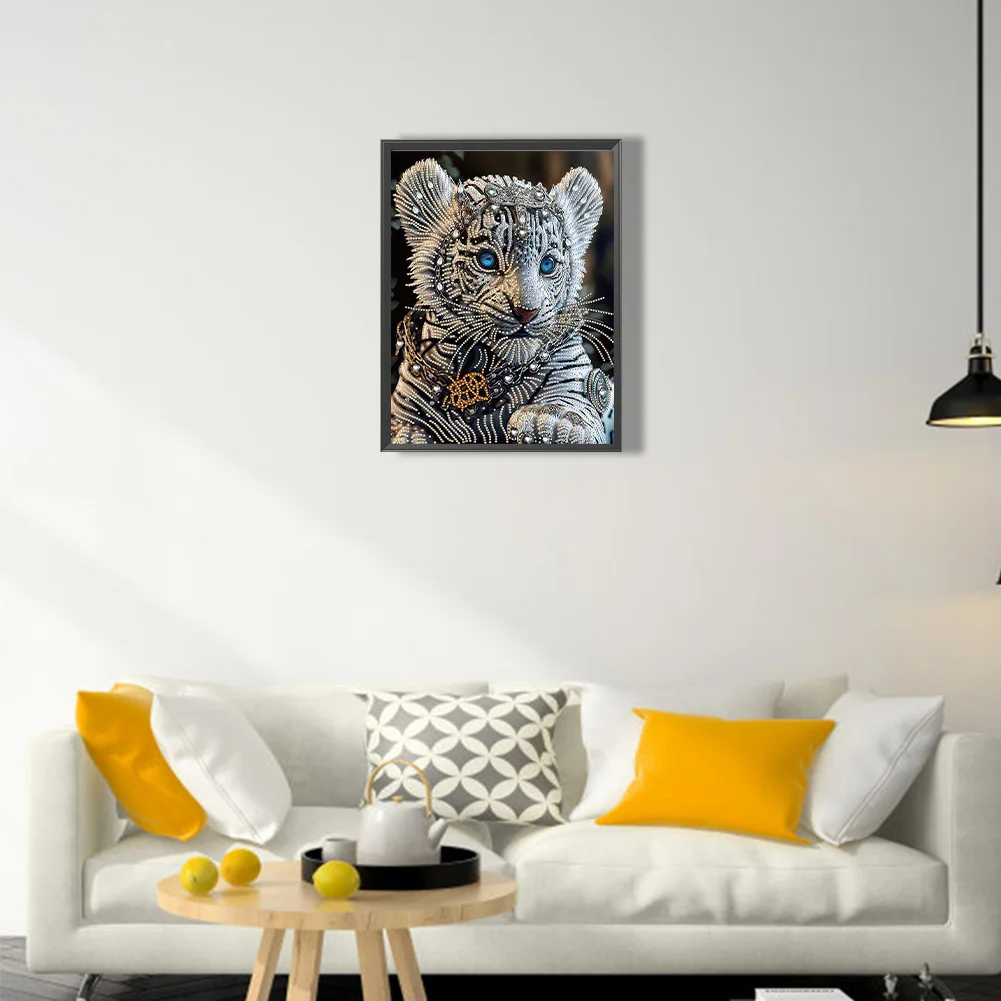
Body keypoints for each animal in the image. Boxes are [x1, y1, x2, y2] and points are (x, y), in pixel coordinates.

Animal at [390, 158, 614, 445]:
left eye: (547, 264)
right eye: (487, 260)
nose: (526, 312)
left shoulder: (573, 378)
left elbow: (570, 404)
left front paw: (552, 422)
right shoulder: (406, 412)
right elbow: (411, 431)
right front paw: (410, 439)